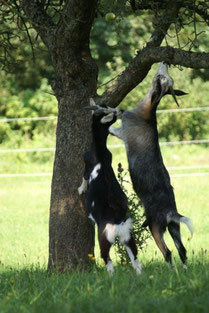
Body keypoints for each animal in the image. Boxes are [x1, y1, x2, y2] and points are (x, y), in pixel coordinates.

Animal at [78, 103, 142, 274]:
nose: (119, 110)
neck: (100, 150)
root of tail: (117, 220)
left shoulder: (87, 164)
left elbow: (84, 177)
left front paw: (80, 190)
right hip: (128, 237)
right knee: (135, 260)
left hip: (104, 239)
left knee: (108, 260)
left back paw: (109, 276)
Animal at [96, 63, 193, 268]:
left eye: (161, 77)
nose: (165, 62)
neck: (146, 113)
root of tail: (170, 212)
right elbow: (117, 111)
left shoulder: (121, 132)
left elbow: (113, 122)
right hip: (174, 227)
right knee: (182, 250)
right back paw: (184, 270)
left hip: (156, 227)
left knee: (168, 252)